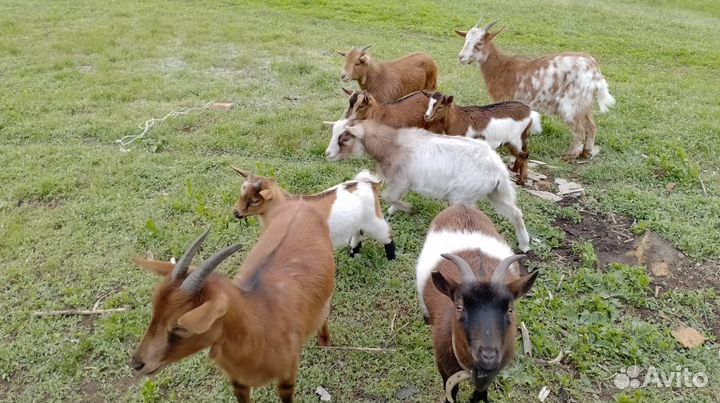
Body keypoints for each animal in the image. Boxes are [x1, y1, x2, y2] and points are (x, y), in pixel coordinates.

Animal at [130, 203, 335, 403]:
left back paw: (324, 339)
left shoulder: (287, 376)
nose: (137, 364)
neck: (261, 320)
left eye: (180, 327)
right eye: (154, 311)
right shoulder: (238, 383)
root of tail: (301, 203)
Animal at [232, 167, 395, 260]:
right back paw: (354, 256)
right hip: (359, 221)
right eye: (241, 194)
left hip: (374, 220)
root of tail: (370, 184)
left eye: (254, 200)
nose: (236, 213)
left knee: (386, 235)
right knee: (358, 234)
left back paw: (391, 257)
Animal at [325, 119, 530, 252]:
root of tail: (497, 169)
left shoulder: (400, 179)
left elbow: (389, 196)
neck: (392, 146)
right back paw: (524, 244)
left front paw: (408, 208)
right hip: (497, 193)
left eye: (344, 138)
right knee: (515, 213)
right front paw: (394, 210)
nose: (328, 154)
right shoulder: (404, 182)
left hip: (464, 196)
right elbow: (394, 197)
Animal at [417, 204, 538, 403]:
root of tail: (461, 206)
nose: (488, 356)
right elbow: (451, 391)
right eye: (459, 307)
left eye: (510, 309)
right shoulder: (444, 366)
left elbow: (480, 393)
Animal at [456, 20, 616, 161]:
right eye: (465, 40)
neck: (501, 68)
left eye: (479, 43)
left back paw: (570, 157)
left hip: (571, 103)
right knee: (592, 126)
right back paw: (586, 153)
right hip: (584, 104)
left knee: (580, 130)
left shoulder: (505, 101)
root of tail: (595, 70)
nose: (461, 57)